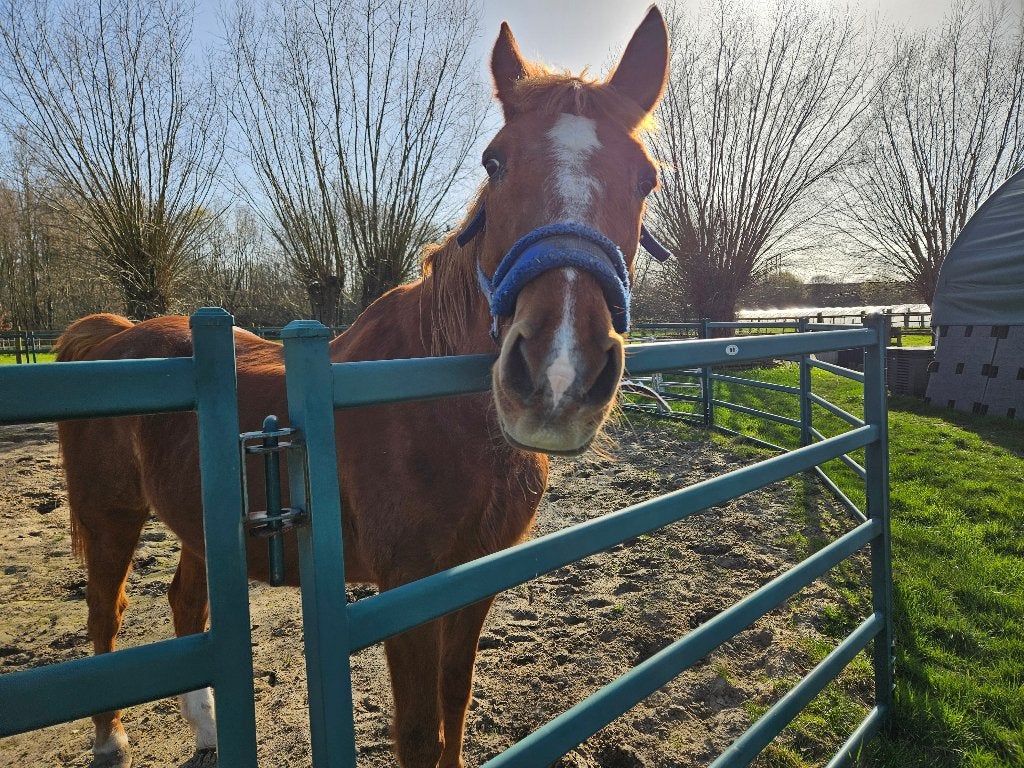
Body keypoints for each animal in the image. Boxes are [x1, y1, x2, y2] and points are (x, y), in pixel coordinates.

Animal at [55, 8, 669, 768]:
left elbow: (455, 702)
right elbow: (419, 730)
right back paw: (110, 739)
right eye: (495, 161)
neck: (430, 414)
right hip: (110, 517)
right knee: (104, 613)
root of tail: (108, 337)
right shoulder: (406, 590)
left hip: (200, 528)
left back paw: (209, 731)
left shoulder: (475, 579)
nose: (559, 376)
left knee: (184, 605)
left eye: (645, 179)